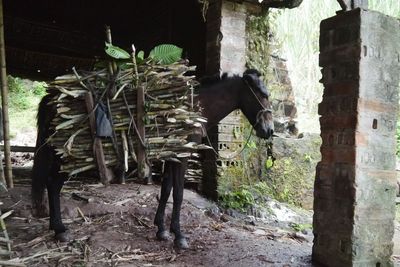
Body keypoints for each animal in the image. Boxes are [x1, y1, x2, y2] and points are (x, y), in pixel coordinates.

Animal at [32, 69, 276, 251]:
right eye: (263, 94)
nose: (270, 131)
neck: (194, 108)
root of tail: (51, 100)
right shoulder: (181, 156)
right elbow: (178, 194)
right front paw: (179, 236)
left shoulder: (171, 155)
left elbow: (166, 190)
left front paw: (161, 229)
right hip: (68, 157)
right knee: (53, 184)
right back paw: (60, 230)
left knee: (50, 184)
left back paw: (56, 228)